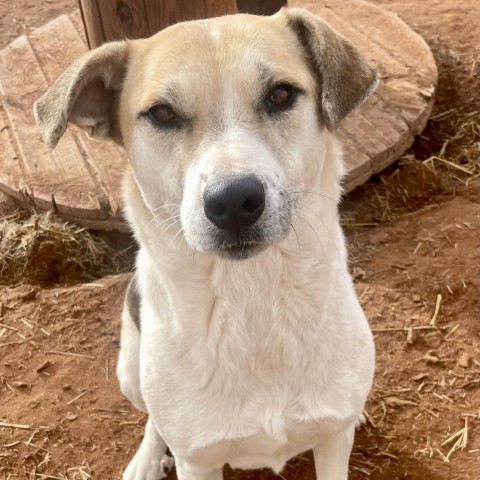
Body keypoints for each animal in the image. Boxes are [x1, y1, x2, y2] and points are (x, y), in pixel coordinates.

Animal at [34, 8, 378, 480]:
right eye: (162, 114)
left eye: (280, 94)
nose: (233, 202)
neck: (251, 300)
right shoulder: (197, 461)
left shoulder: (331, 439)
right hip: (130, 372)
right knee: (153, 418)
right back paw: (146, 459)